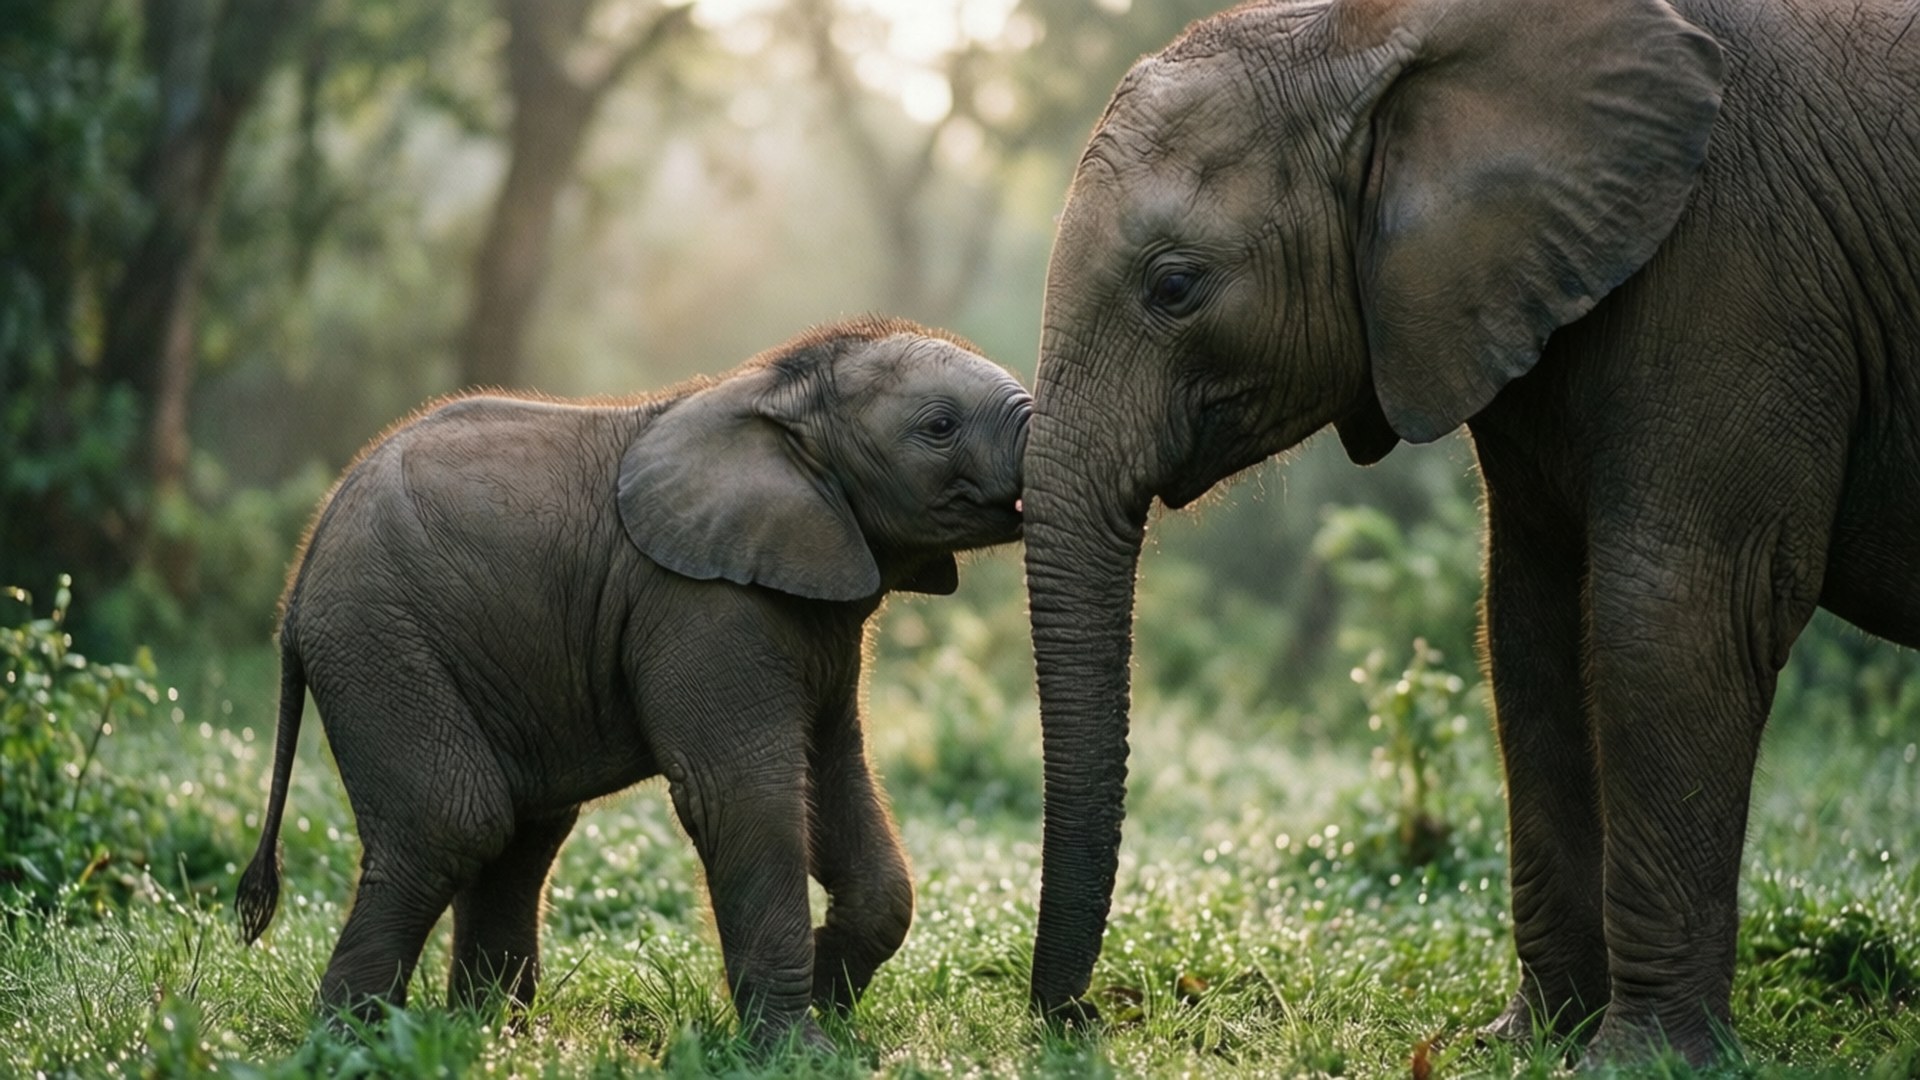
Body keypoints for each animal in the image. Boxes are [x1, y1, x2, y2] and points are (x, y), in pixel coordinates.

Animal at [234, 317, 1030, 1048]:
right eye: (940, 427)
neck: (777, 391)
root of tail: (297, 587)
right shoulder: (698, 602)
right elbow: (741, 793)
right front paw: (798, 1047)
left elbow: (834, 775)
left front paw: (832, 1011)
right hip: (378, 639)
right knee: (457, 820)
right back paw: (350, 1043)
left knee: (522, 832)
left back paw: (487, 1037)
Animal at [1019, 0, 1918, 1066]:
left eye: (1174, 288)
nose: (1079, 1015)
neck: (1377, 35)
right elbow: (1527, 628)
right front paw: (1530, 1041)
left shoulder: (1739, 274)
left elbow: (1665, 623)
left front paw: (1638, 1064)